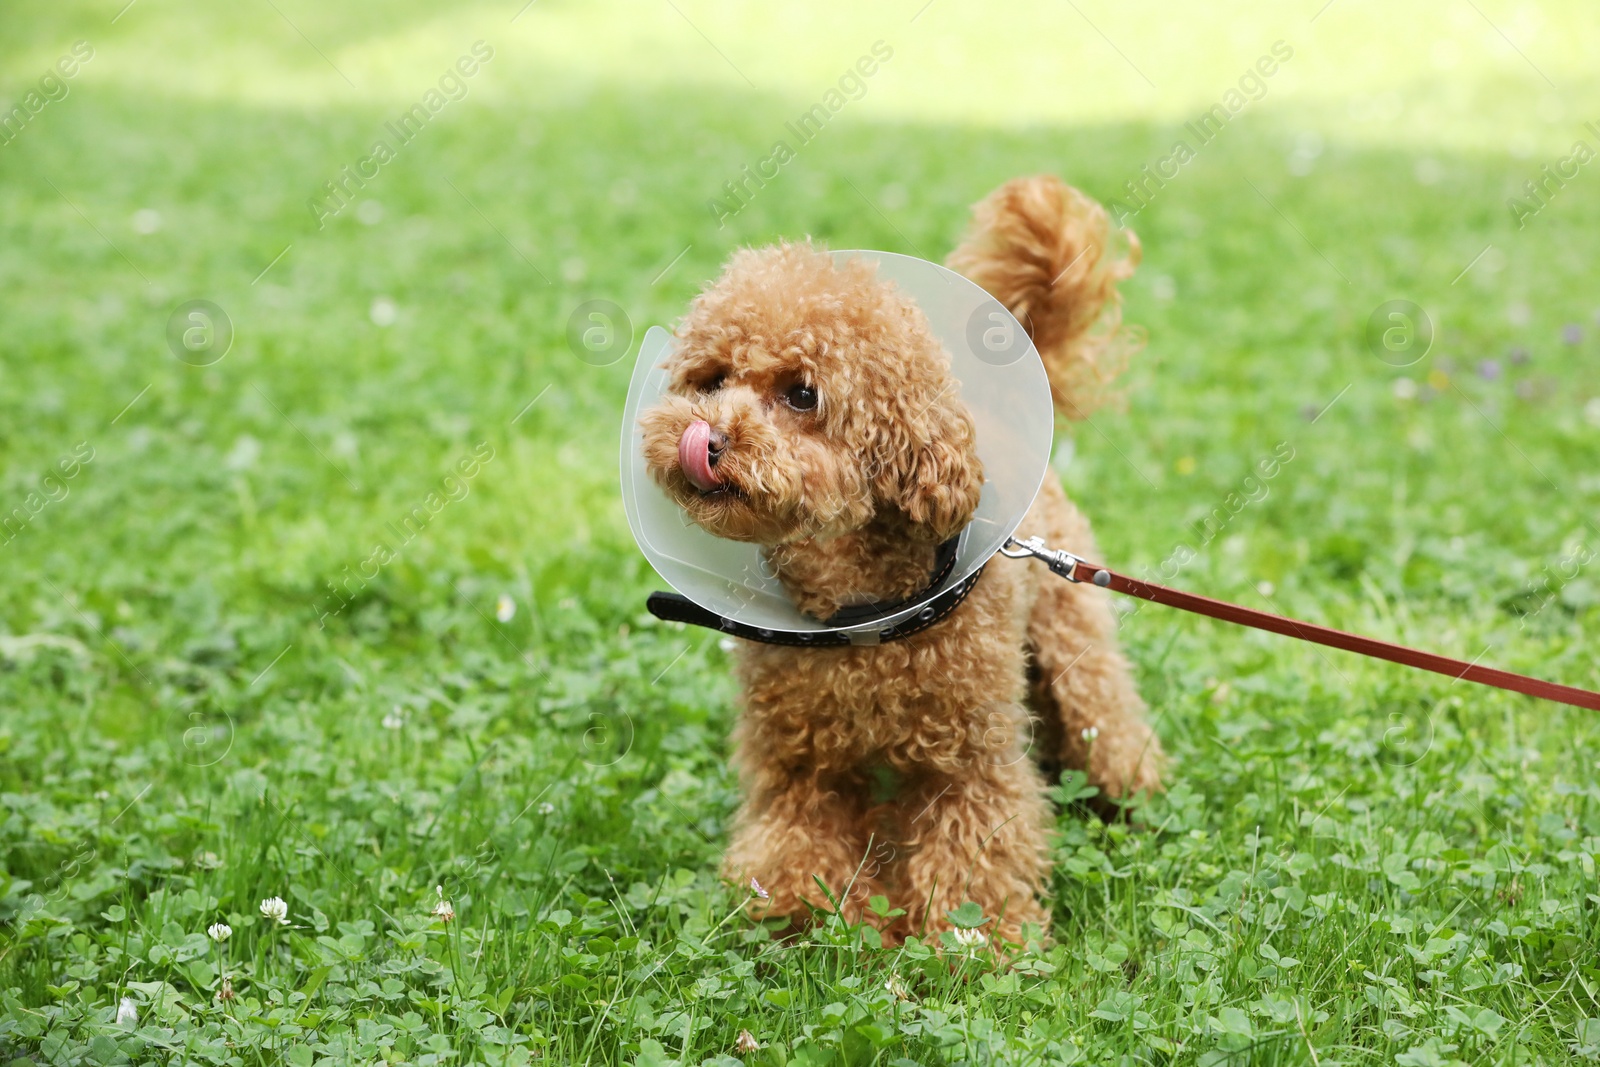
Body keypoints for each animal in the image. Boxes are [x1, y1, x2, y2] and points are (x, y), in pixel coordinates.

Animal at [633, 177, 1164, 953]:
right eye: (711, 378)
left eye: (802, 393)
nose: (704, 438)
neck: (858, 613)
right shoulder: (800, 760)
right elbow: (795, 841)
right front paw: (808, 912)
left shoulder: (968, 757)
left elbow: (976, 844)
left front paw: (981, 937)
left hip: (1074, 639)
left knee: (1107, 717)